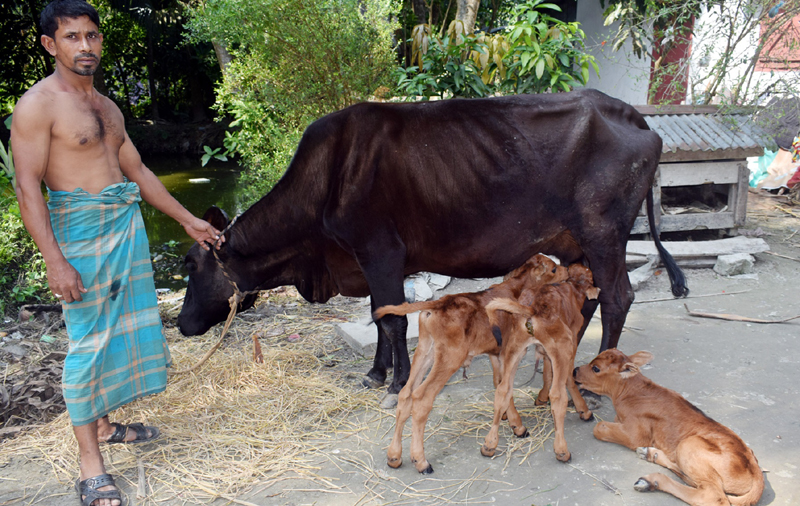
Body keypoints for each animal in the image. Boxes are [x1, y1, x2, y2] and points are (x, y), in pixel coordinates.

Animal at [180, 88, 688, 396]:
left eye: (190, 265)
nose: (181, 325)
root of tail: (632, 114)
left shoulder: (379, 251)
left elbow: (391, 321)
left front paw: (396, 383)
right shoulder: (371, 261)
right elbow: (379, 314)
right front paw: (377, 373)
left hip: (604, 234)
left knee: (618, 298)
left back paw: (588, 377)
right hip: (576, 242)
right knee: (587, 299)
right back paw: (561, 362)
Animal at [374, 255, 568, 472]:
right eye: (553, 269)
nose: (567, 270)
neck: (516, 289)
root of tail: (439, 303)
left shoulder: (495, 354)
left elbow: (499, 384)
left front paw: (509, 420)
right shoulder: (509, 351)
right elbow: (506, 387)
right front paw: (517, 427)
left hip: (425, 351)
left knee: (406, 394)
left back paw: (394, 456)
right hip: (449, 358)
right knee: (421, 398)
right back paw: (421, 461)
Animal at [482, 264, 600, 462]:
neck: (572, 289)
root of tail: (532, 309)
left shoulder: (546, 351)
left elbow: (546, 372)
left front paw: (541, 398)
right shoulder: (571, 343)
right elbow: (567, 377)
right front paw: (583, 410)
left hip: (514, 348)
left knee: (503, 389)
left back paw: (490, 444)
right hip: (562, 345)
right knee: (558, 395)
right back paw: (562, 450)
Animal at [576, 348, 764, 506]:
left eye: (596, 368)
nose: (575, 370)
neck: (628, 392)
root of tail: (756, 469)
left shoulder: (636, 435)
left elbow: (599, 427)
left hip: (689, 445)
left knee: (711, 496)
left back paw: (650, 479)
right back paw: (651, 456)